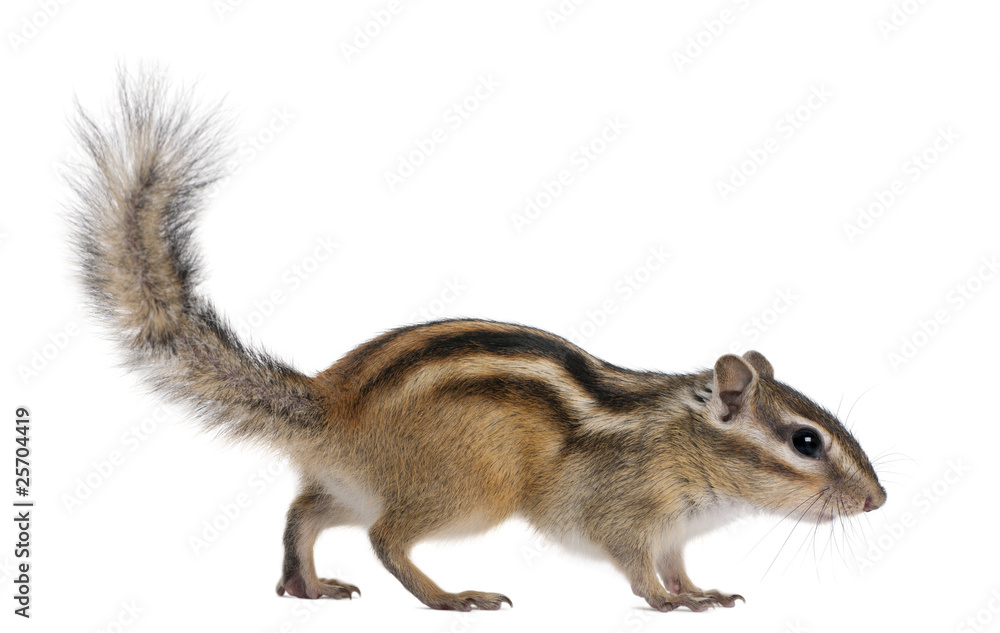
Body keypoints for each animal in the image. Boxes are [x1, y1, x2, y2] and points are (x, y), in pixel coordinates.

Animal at [66, 69, 886, 613]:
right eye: (806, 441)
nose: (878, 501)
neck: (682, 441)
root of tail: (329, 404)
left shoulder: (677, 532)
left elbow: (678, 563)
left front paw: (703, 592)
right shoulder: (623, 514)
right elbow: (636, 566)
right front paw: (668, 602)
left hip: (353, 483)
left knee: (306, 512)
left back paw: (306, 583)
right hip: (472, 489)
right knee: (386, 537)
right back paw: (448, 596)